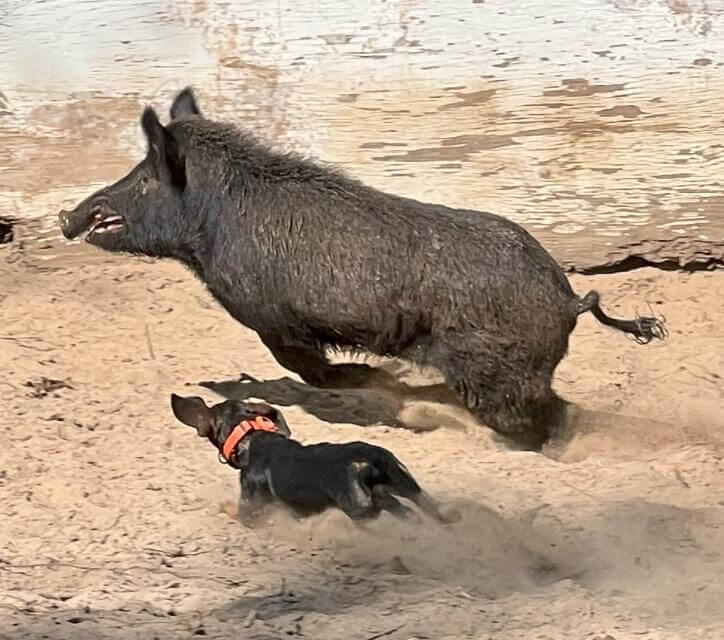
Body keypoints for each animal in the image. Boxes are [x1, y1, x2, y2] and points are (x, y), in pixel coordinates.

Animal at [58, 87, 667, 450]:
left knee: (546, 422)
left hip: (499, 377)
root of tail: (569, 297)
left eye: (145, 177)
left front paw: (375, 382)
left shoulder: (273, 320)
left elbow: (310, 370)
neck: (214, 225)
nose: (68, 215)